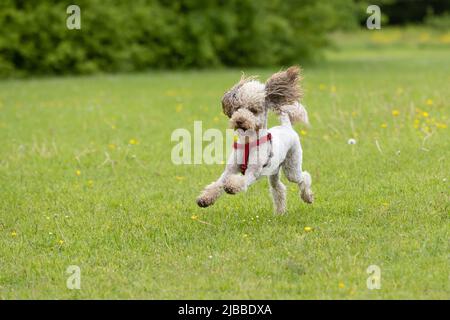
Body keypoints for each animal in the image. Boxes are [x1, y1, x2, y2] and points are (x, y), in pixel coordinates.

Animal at [197, 66, 312, 214]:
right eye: (237, 107)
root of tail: (286, 126)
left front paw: (231, 186)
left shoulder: (253, 171)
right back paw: (280, 212)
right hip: (274, 171)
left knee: (304, 177)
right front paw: (205, 199)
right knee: (278, 188)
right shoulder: (230, 169)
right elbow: (218, 183)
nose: (239, 120)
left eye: (253, 110)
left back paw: (307, 197)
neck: (248, 142)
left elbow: (241, 180)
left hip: (292, 167)